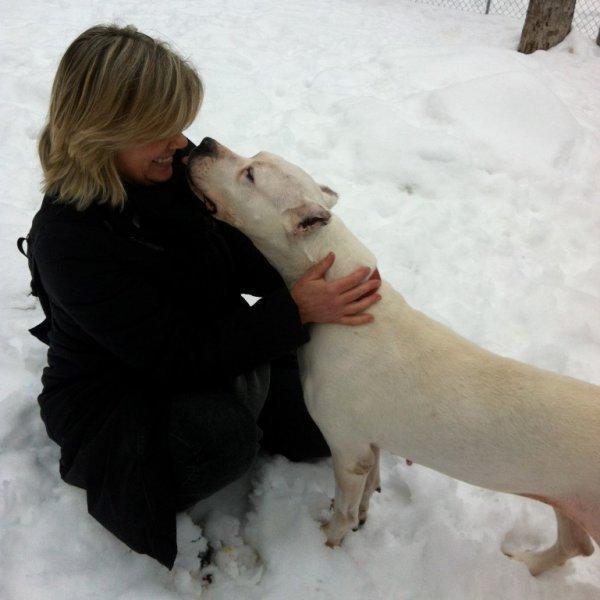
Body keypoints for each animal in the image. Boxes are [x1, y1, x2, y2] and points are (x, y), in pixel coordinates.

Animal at [187, 137, 600, 576]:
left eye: (249, 174)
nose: (205, 142)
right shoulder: (369, 444)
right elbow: (368, 489)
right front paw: (363, 516)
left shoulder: (346, 447)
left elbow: (342, 512)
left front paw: (327, 544)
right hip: (566, 499)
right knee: (575, 544)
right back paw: (527, 563)